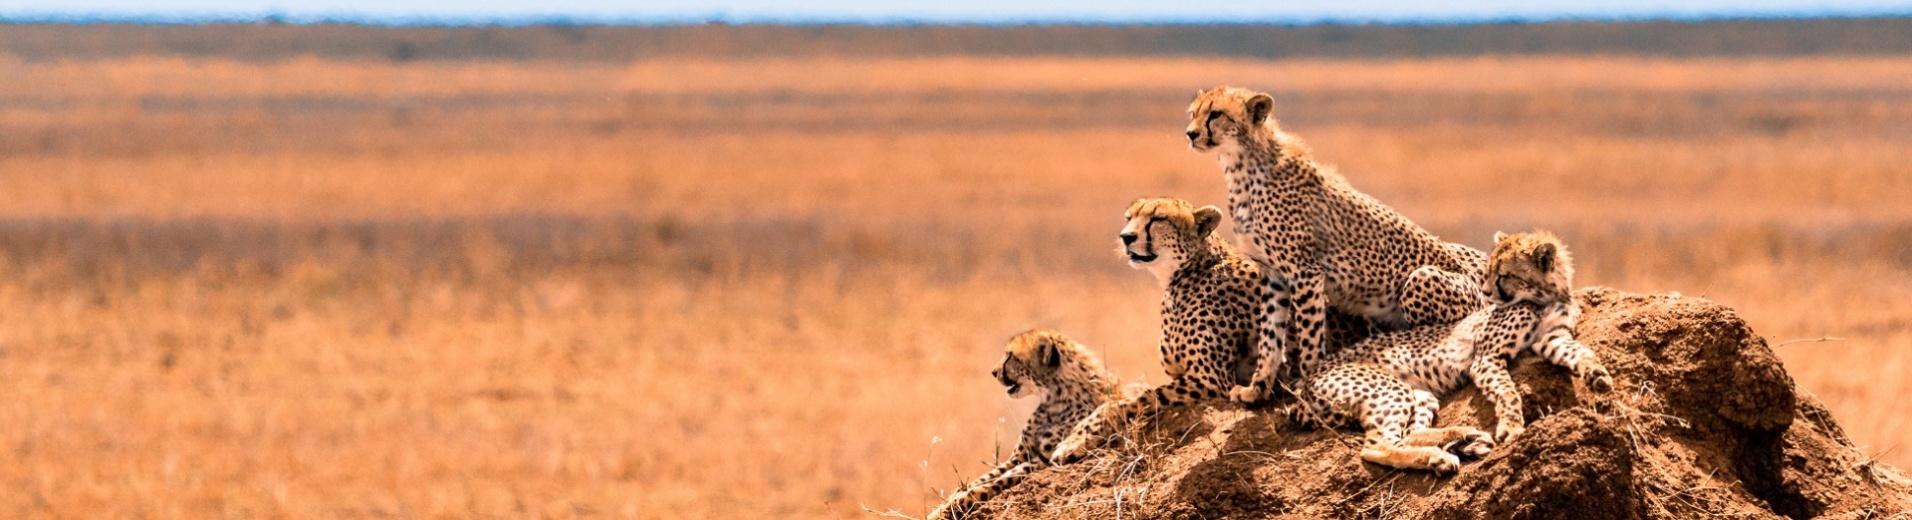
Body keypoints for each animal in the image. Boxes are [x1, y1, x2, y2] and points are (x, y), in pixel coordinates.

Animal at [933, 330, 1124, 516]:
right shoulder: (1018, 457)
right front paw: (945, 505)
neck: (1054, 397)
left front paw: (955, 505)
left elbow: (994, 482)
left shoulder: (1044, 459)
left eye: (1010, 356)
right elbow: (983, 478)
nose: (993, 372)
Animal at [1177, 85, 1491, 403]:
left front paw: (1308, 383)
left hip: (1421, 279)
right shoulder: (1274, 276)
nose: (1190, 133)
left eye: (1216, 114)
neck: (1242, 165)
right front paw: (1258, 388)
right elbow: (1270, 337)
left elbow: (1310, 335)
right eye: (1193, 113)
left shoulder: (1305, 273)